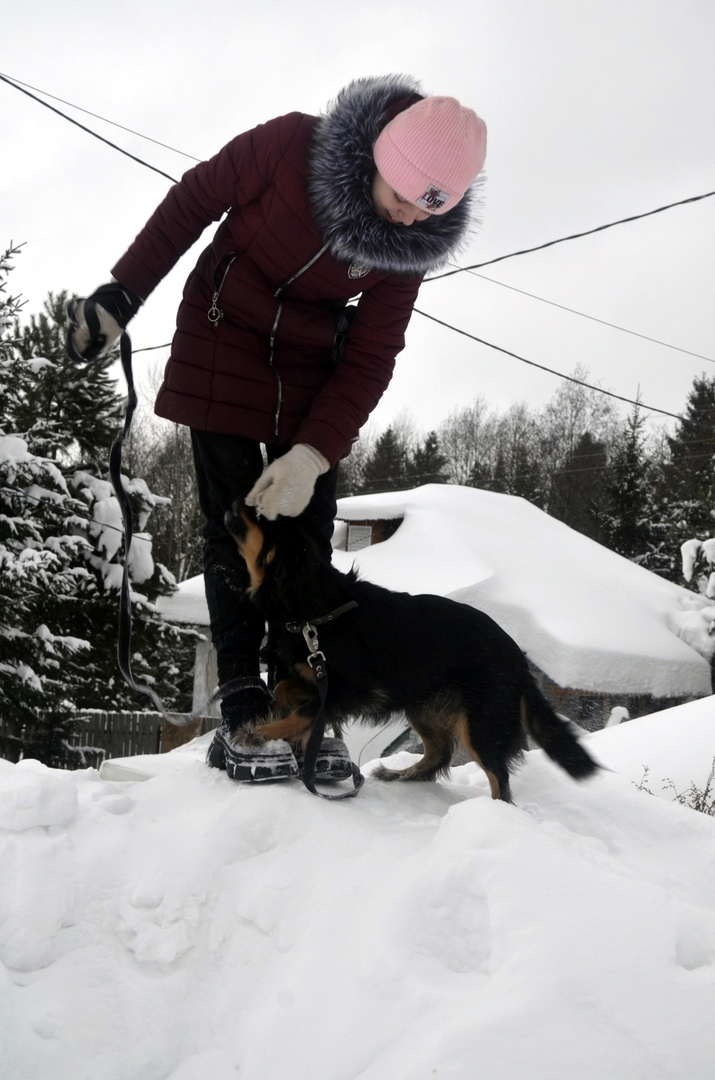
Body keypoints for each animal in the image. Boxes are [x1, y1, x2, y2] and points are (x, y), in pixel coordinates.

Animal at [224, 498, 600, 803]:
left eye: (263, 515)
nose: (237, 501)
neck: (317, 609)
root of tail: (518, 658)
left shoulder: (352, 689)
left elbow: (306, 712)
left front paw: (259, 733)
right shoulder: (321, 678)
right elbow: (285, 689)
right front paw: (274, 717)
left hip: (480, 720)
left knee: (498, 776)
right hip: (424, 705)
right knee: (440, 753)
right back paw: (398, 775)